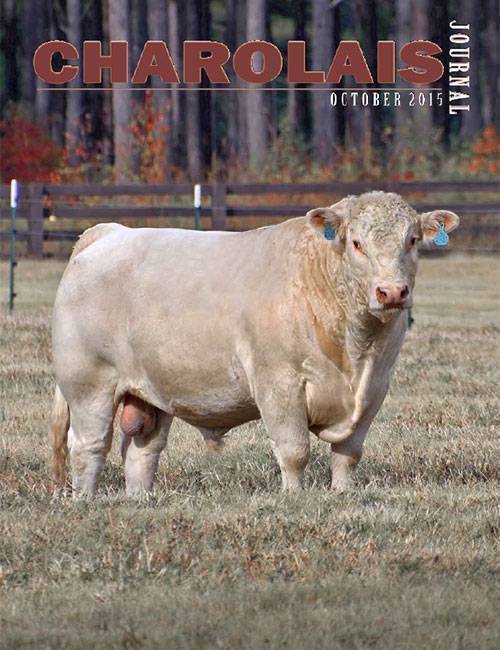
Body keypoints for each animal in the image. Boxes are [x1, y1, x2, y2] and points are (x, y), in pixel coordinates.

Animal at [49, 191, 459, 497]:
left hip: (151, 390)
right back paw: (85, 501)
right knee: (88, 445)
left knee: (141, 451)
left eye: (412, 241)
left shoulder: (375, 388)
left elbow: (347, 453)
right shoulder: (278, 382)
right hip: (89, 382)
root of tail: (109, 233)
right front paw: (294, 497)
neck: (354, 349)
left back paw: (141, 500)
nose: (392, 291)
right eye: (357, 243)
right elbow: (294, 451)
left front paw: (342, 494)